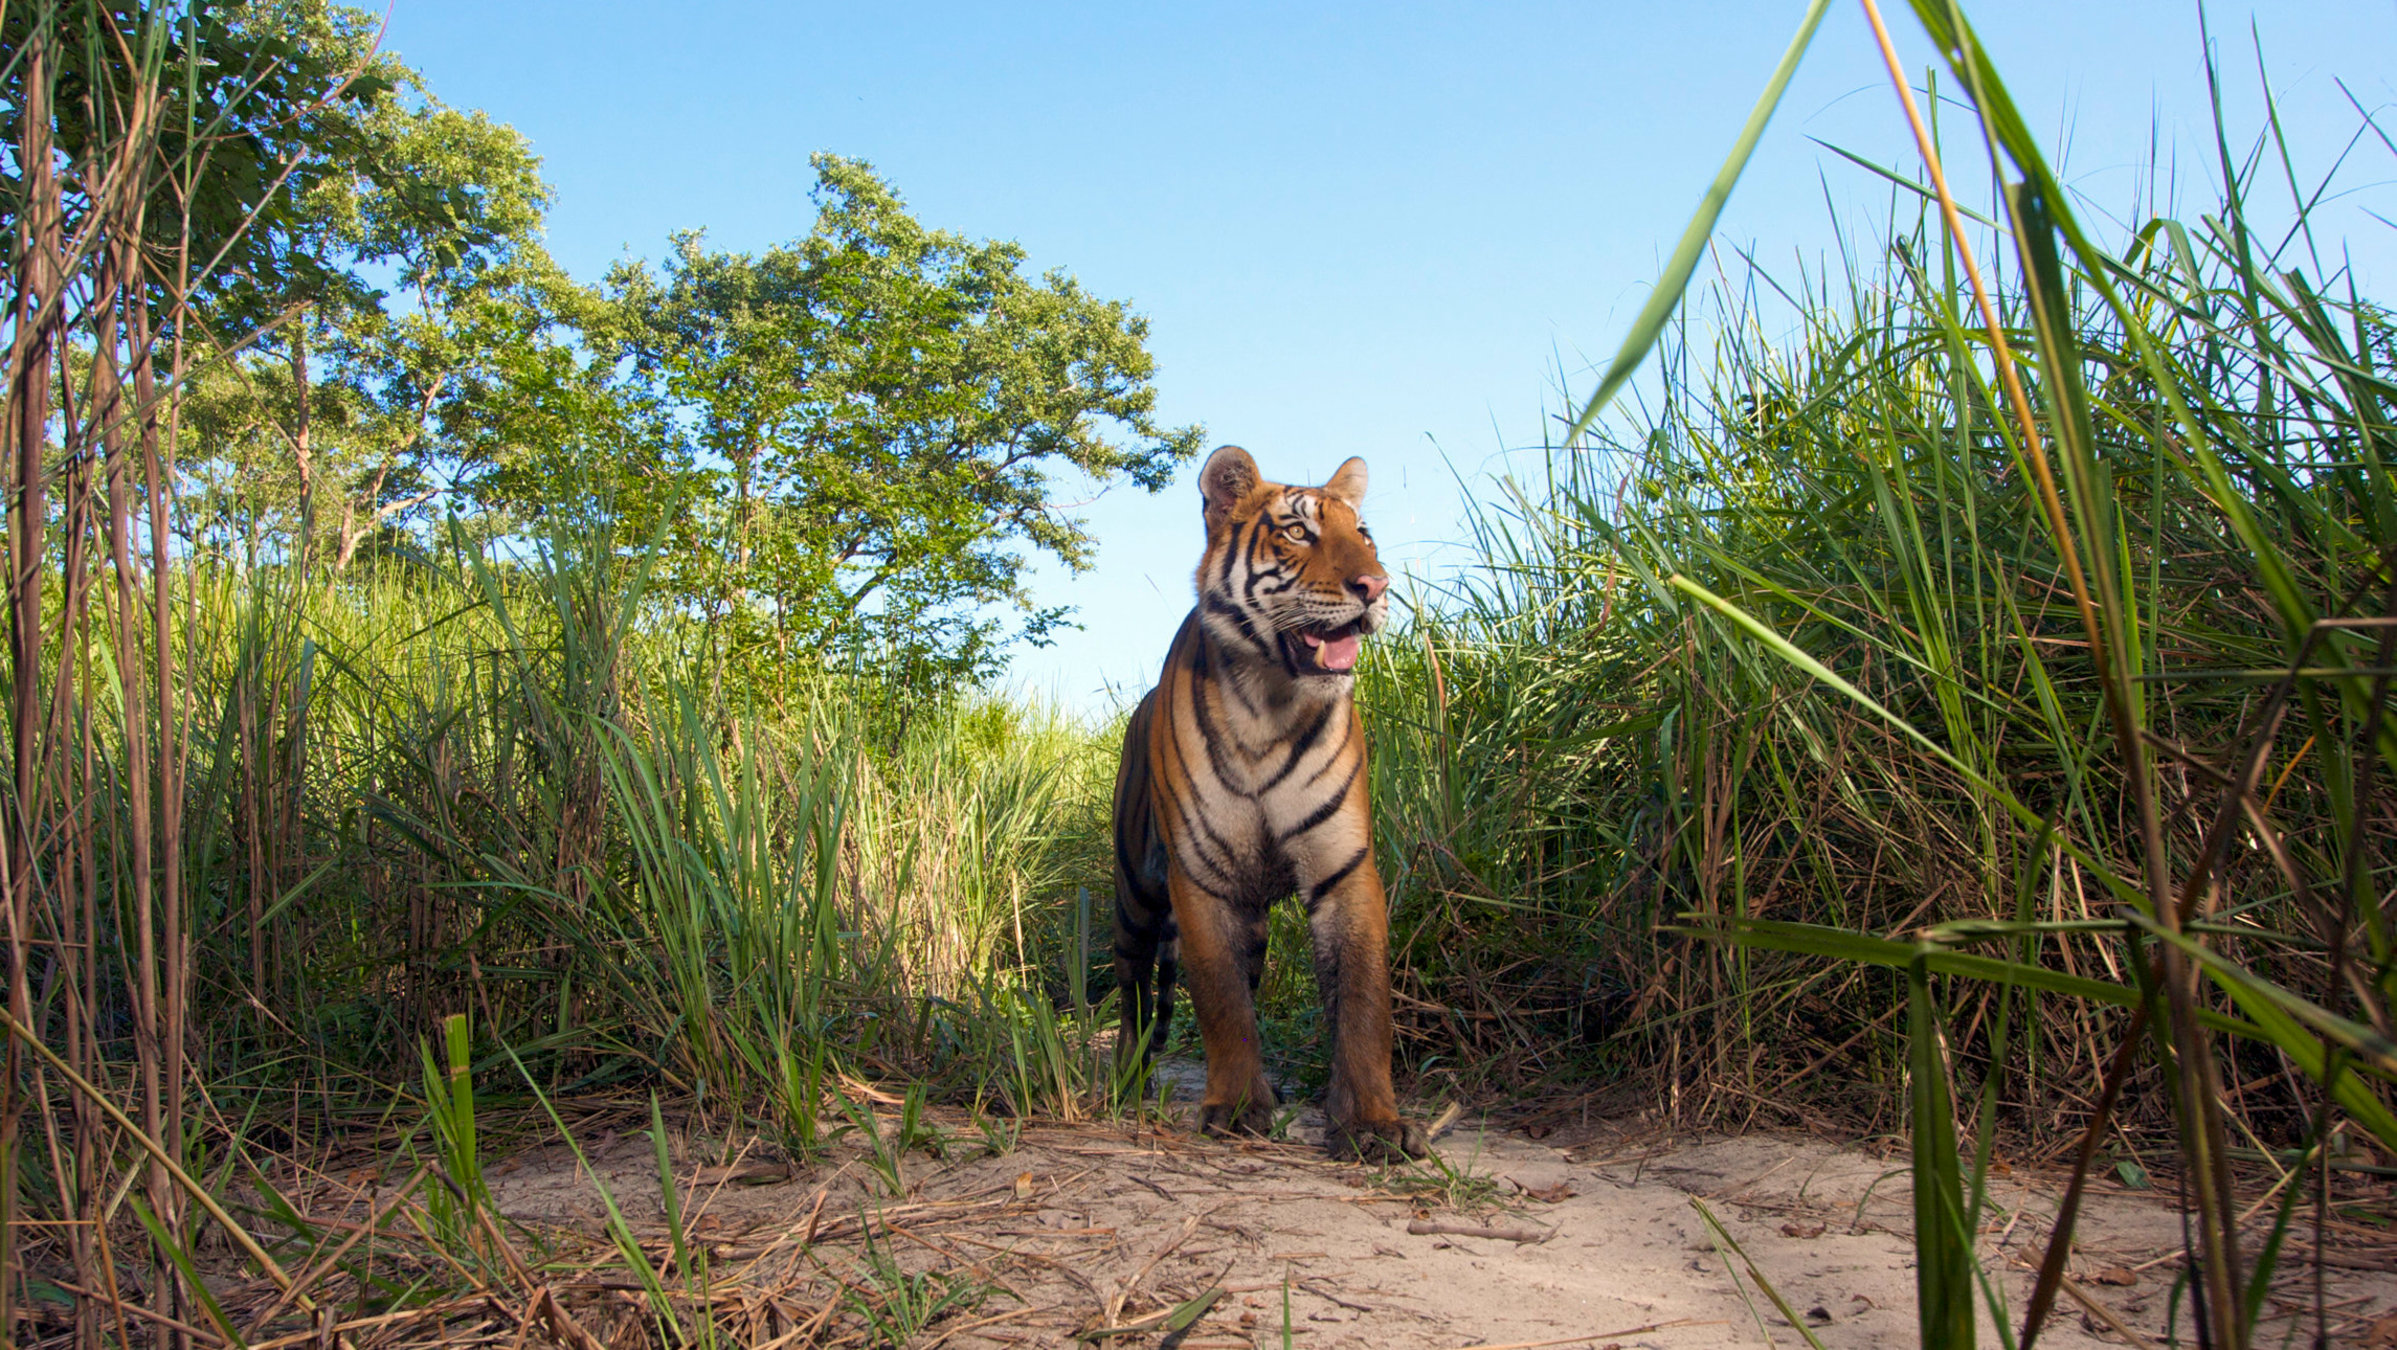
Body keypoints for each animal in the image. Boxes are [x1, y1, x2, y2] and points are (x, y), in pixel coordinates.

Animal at [1111, 444, 1429, 1162]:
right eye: (1297, 532)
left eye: (1363, 534)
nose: (1376, 586)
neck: (1271, 703)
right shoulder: (1199, 877)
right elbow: (1220, 1000)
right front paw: (1234, 1108)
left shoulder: (1345, 869)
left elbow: (1362, 1004)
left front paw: (1371, 1122)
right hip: (1136, 892)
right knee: (1135, 986)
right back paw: (1126, 1077)